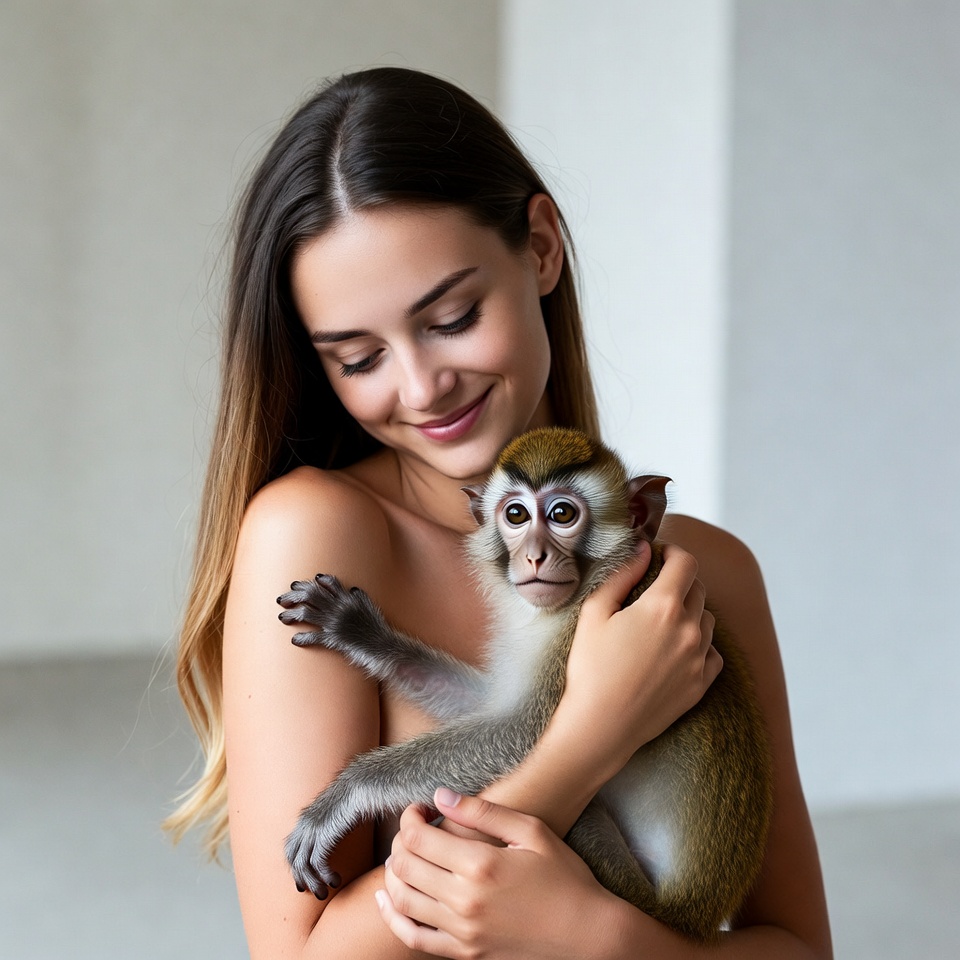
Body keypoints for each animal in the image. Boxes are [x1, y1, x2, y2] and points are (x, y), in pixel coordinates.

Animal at [276, 427, 773, 943]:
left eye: (562, 514)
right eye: (515, 515)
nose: (535, 555)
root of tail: (692, 916)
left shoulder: (585, 628)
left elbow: (519, 729)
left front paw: (341, 797)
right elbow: (489, 705)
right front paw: (356, 629)